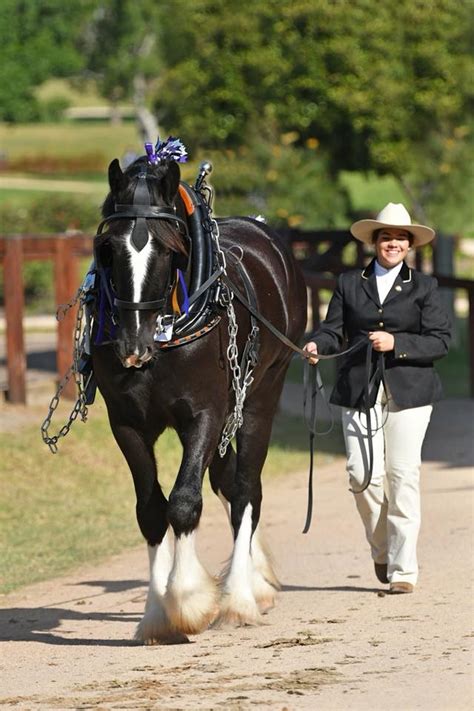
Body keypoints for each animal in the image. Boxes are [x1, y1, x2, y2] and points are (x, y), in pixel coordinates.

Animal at [91, 156, 308, 644]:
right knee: (228, 483)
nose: (133, 344)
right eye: (108, 247)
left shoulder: (205, 416)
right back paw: (255, 582)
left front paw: (187, 599)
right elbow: (151, 510)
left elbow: (185, 502)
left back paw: (242, 597)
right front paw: (157, 614)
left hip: (259, 399)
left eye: (170, 250)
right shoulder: (127, 424)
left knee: (245, 490)